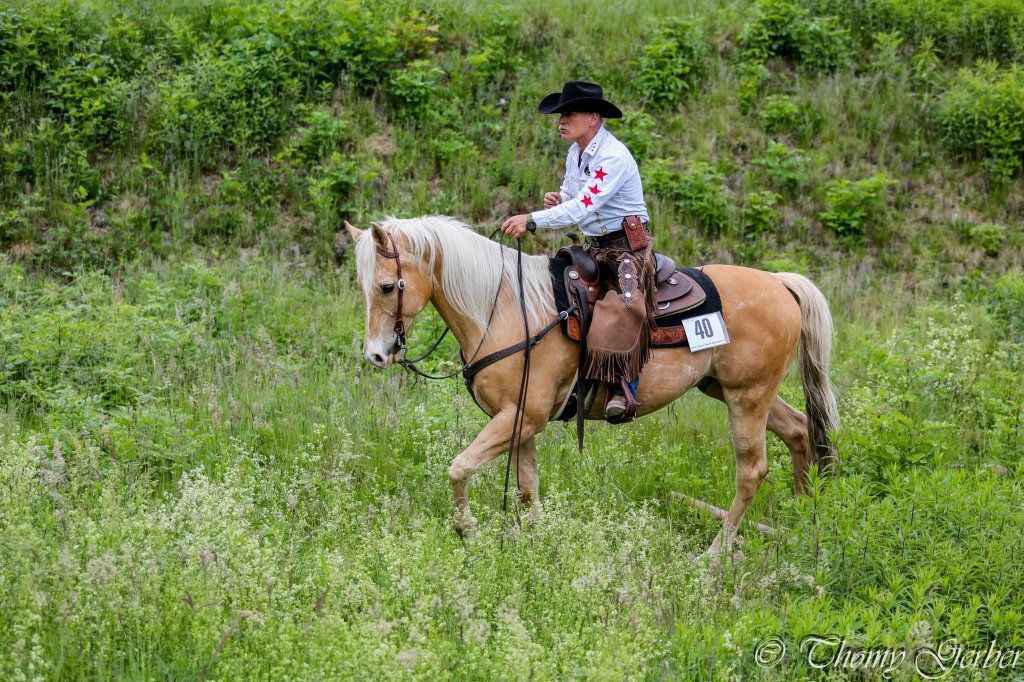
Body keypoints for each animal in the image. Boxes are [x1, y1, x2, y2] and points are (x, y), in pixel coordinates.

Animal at [345, 215, 839, 558]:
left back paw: (713, 555)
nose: (376, 355)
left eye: (387, 286)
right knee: (799, 430)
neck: (503, 308)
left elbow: (459, 467)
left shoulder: (522, 417)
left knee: (751, 471)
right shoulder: (521, 422)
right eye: (363, 286)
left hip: (746, 398)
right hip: (734, 390)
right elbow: (527, 486)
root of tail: (779, 282)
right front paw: (536, 542)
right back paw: (801, 520)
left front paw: (467, 531)